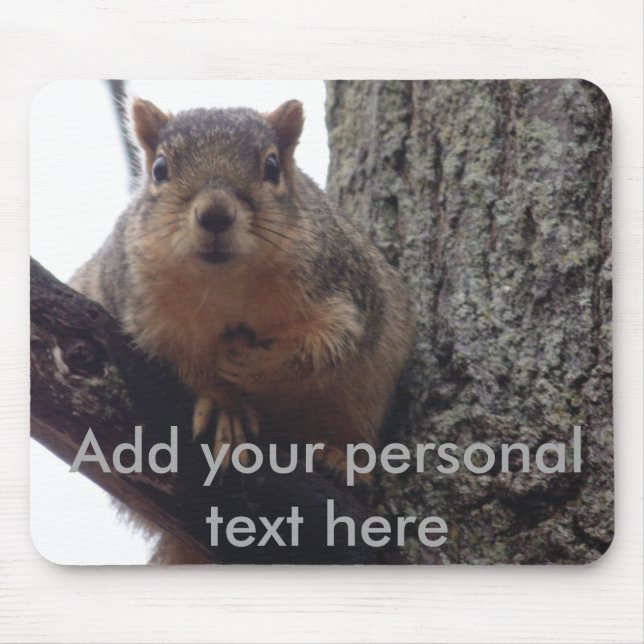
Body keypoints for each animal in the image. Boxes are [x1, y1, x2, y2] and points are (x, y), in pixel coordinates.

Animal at [69, 97, 416, 563]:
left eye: (272, 166)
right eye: (159, 169)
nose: (215, 214)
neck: (224, 285)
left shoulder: (345, 292)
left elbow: (325, 345)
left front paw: (251, 365)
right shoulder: (143, 313)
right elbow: (183, 362)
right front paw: (224, 402)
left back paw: (341, 457)